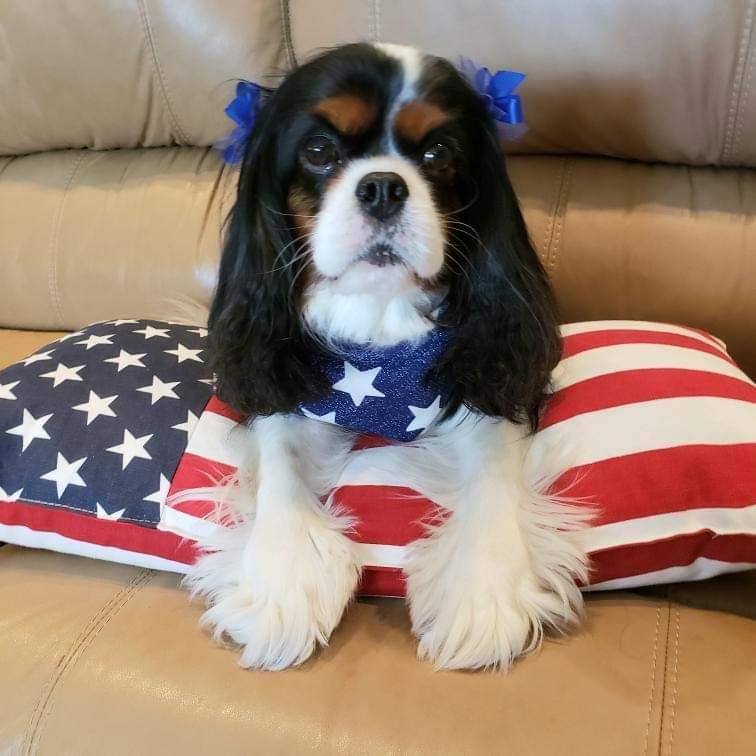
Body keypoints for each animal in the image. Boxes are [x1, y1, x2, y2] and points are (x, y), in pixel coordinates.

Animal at [186, 41, 588, 672]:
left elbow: (493, 474)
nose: (382, 186)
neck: (379, 313)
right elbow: (279, 466)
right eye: (318, 151)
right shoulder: (282, 393)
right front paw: (281, 583)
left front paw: (483, 593)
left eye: (438, 152)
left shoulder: (490, 383)